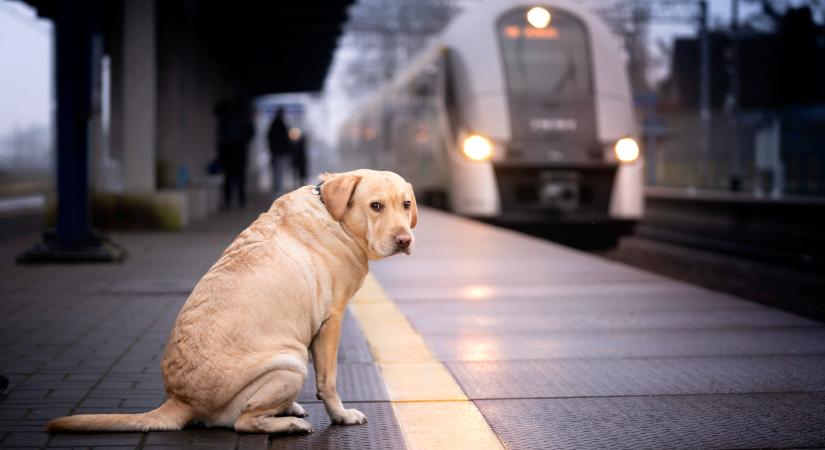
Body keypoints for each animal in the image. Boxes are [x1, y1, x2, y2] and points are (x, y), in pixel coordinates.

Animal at [48, 171, 416, 434]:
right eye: (376, 206)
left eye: (406, 205)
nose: (405, 240)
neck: (330, 211)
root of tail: (181, 400)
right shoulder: (331, 322)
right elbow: (328, 381)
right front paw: (341, 415)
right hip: (290, 363)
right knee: (244, 422)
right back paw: (289, 423)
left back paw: (288, 409)